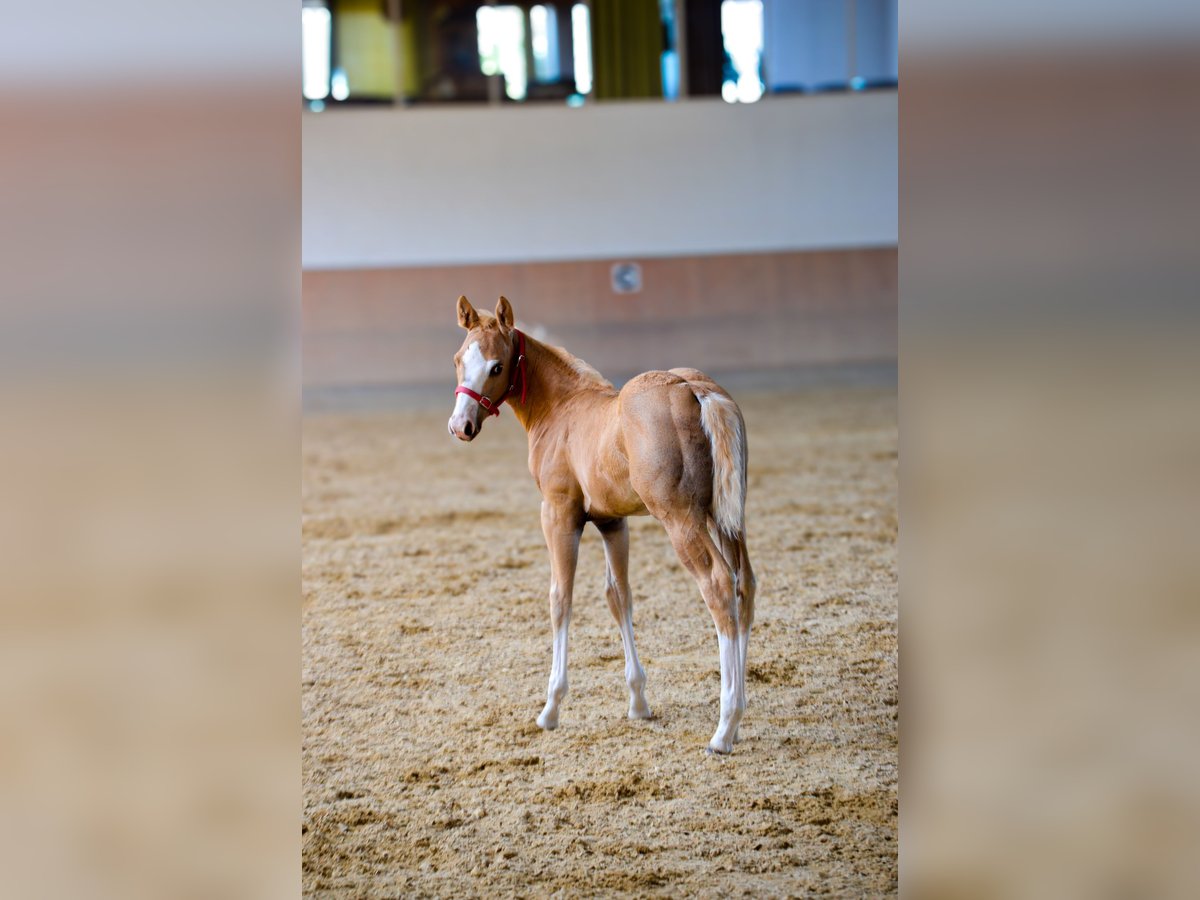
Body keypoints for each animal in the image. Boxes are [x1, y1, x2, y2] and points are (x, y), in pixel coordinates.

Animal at [447, 295, 756, 754]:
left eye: (497, 367)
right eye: (458, 360)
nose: (460, 427)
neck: (562, 408)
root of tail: (695, 389)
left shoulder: (558, 514)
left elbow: (560, 598)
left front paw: (551, 708)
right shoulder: (613, 522)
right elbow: (619, 597)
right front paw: (638, 702)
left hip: (682, 519)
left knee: (718, 586)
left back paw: (724, 727)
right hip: (726, 518)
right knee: (744, 584)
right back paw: (738, 715)